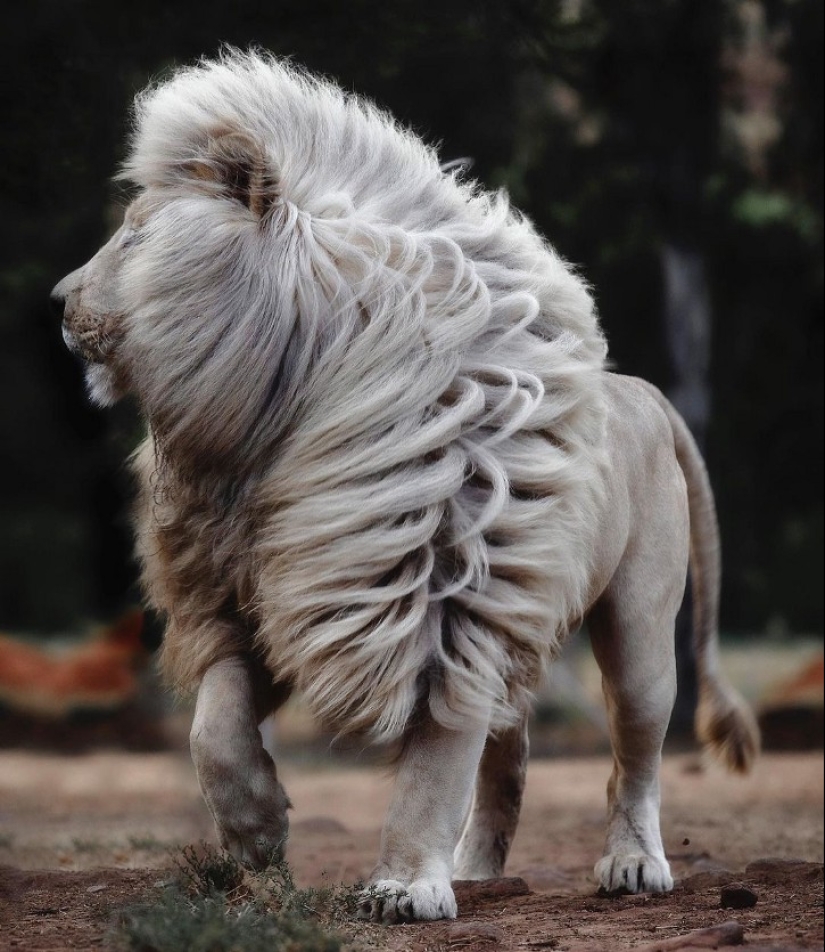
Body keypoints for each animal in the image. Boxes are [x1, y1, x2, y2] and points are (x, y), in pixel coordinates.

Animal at [52, 51, 759, 923]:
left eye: (137, 234)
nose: (58, 300)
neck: (270, 427)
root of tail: (645, 393)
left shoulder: (446, 606)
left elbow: (432, 768)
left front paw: (403, 886)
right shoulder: (259, 596)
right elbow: (211, 733)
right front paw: (258, 837)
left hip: (637, 628)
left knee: (634, 754)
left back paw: (631, 864)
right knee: (510, 752)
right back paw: (476, 868)